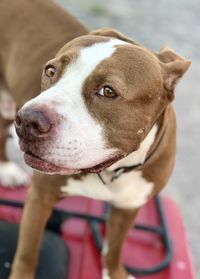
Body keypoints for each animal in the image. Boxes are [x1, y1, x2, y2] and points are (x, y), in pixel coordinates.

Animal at [0, 0, 191, 279]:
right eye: (50, 70)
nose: (27, 121)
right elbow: (27, 253)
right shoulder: (40, 197)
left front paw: (114, 273)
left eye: (108, 91)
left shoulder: (128, 207)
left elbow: (114, 249)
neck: (110, 171)